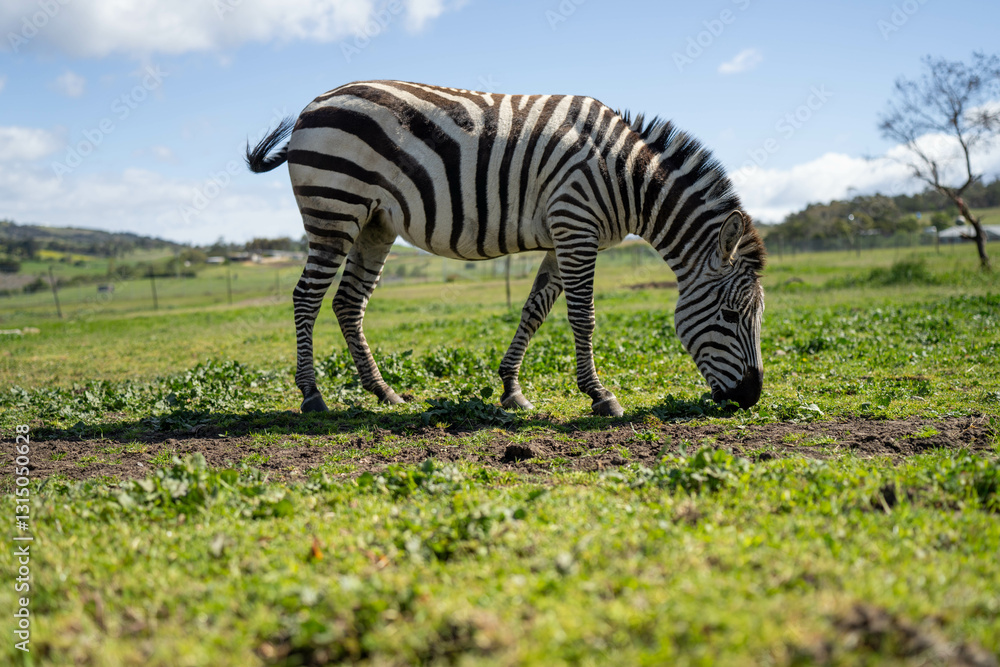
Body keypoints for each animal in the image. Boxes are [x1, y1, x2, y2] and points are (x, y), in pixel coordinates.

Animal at [246, 80, 766, 417]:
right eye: (730, 316)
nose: (752, 397)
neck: (628, 177)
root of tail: (315, 102)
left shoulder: (566, 235)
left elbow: (534, 310)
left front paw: (511, 389)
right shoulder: (576, 226)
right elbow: (583, 317)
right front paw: (600, 396)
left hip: (375, 222)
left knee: (348, 302)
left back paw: (384, 393)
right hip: (334, 209)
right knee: (307, 297)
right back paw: (312, 396)